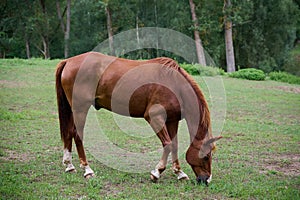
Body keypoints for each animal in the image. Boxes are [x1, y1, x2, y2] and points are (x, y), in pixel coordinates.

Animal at [55, 51, 221, 184]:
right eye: (206, 157)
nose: (206, 180)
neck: (174, 84)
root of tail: (68, 61)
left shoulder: (172, 121)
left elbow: (174, 145)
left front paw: (179, 173)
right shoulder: (154, 118)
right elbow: (167, 144)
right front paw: (157, 172)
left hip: (72, 109)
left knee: (69, 133)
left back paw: (69, 165)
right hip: (80, 108)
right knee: (77, 135)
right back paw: (87, 170)